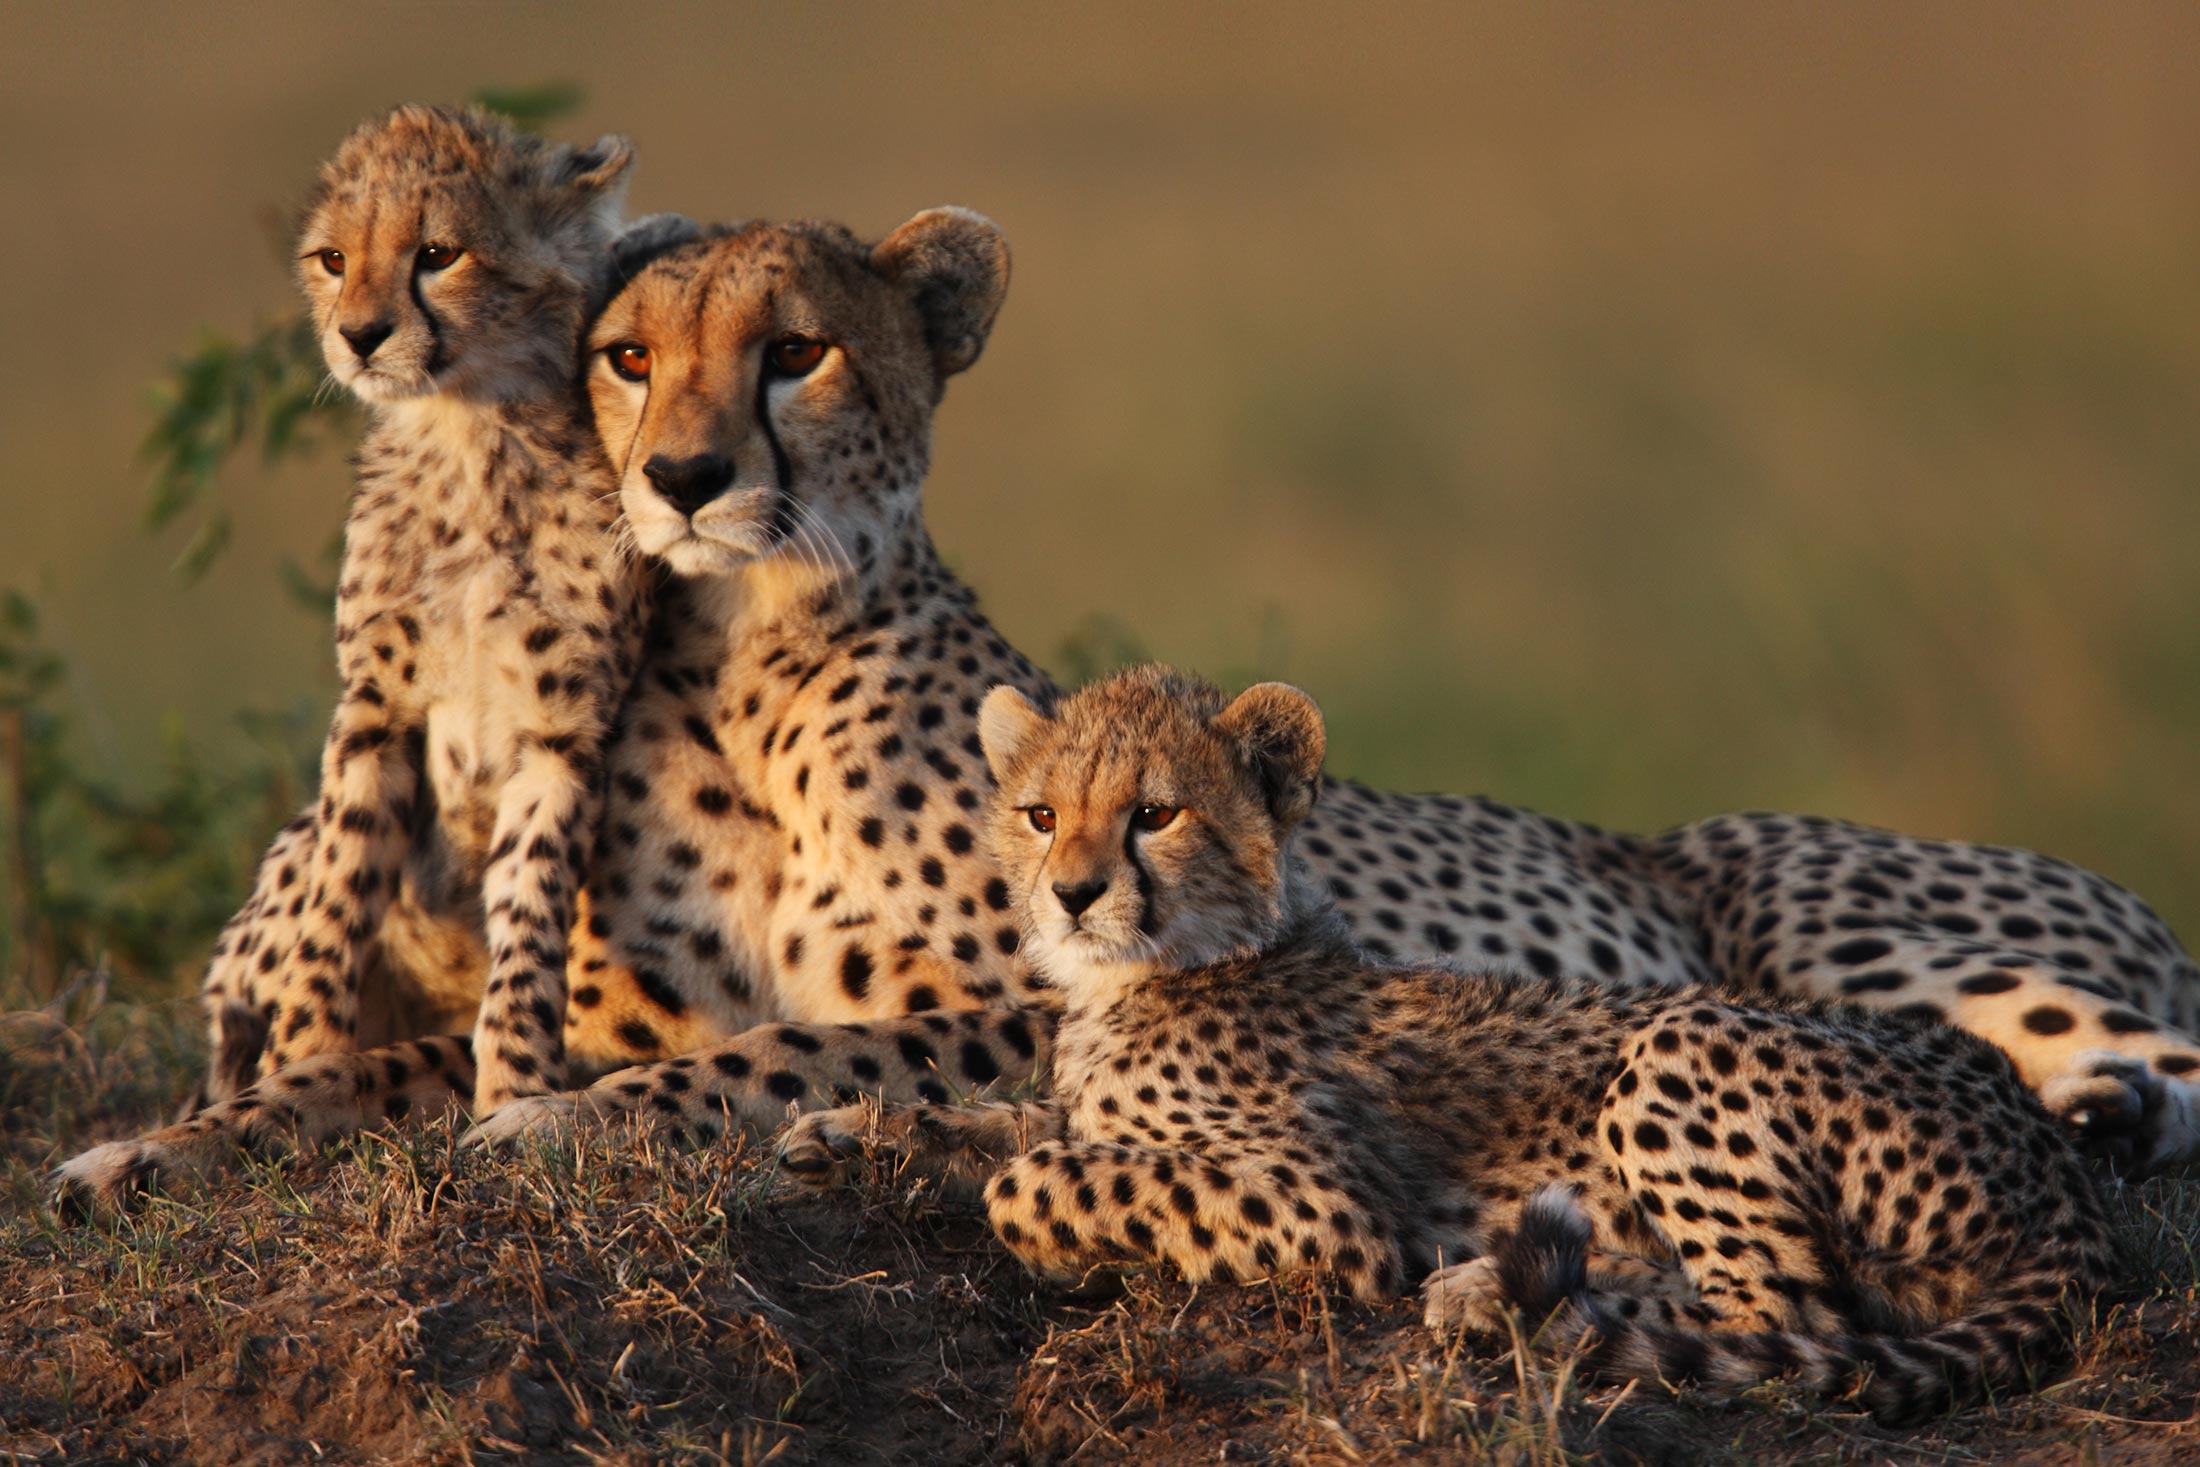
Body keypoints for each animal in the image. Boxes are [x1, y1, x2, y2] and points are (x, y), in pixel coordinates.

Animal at [51, 100, 668, 1205]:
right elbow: (338, 902)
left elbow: (529, 922)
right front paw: (305, 1058)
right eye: (334, 259)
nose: (359, 335)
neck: (469, 436)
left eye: (438, 254)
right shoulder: (375, 712)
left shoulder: (563, 732)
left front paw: (514, 1091)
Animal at [783, 673, 2120, 1425]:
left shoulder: (1328, 1207)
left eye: (1154, 813)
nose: (1068, 894)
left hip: (1681, 1038)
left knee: (1800, 1313)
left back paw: (1502, 1302)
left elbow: (1033, 1175)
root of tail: (2050, 1151)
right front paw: (844, 1132)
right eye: (1040, 812)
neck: (1167, 968)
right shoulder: (1085, 1103)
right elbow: (1006, 1121)